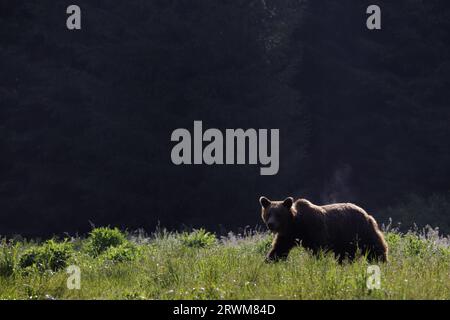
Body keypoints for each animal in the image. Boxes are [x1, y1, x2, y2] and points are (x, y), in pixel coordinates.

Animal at [258, 196, 388, 264]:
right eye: (268, 214)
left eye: (279, 214)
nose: (271, 224)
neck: (296, 225)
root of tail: (365, 212)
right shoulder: (287, 236)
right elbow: (278, 249)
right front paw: (268, 261)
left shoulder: (315, 229)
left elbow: (318, 249)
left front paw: (317, 263)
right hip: (345, 240)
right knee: (345, 255)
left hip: (360, 230)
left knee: (374, 248)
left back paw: (381, 262)